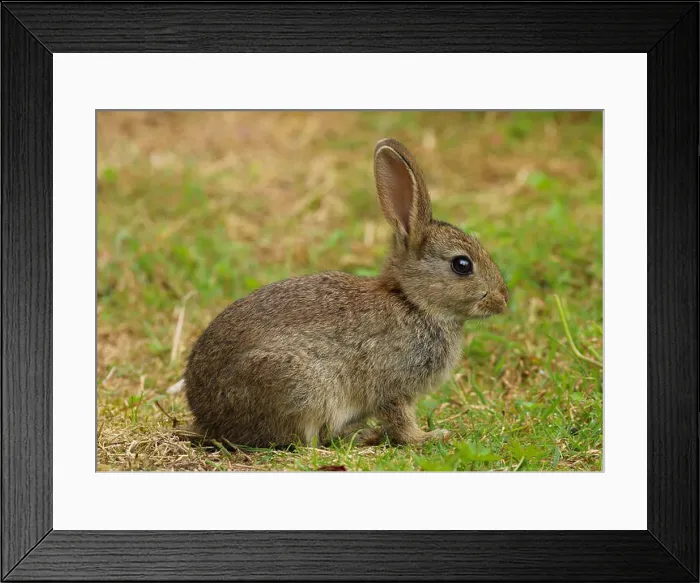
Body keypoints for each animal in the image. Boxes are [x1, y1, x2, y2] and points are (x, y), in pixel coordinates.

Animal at [183, 138, 508, 448]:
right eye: (462, 265)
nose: (503, 300)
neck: (411, 301)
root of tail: (208, 417)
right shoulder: (391, 386)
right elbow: (400, 421)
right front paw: (429, 437)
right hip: (300, 388)